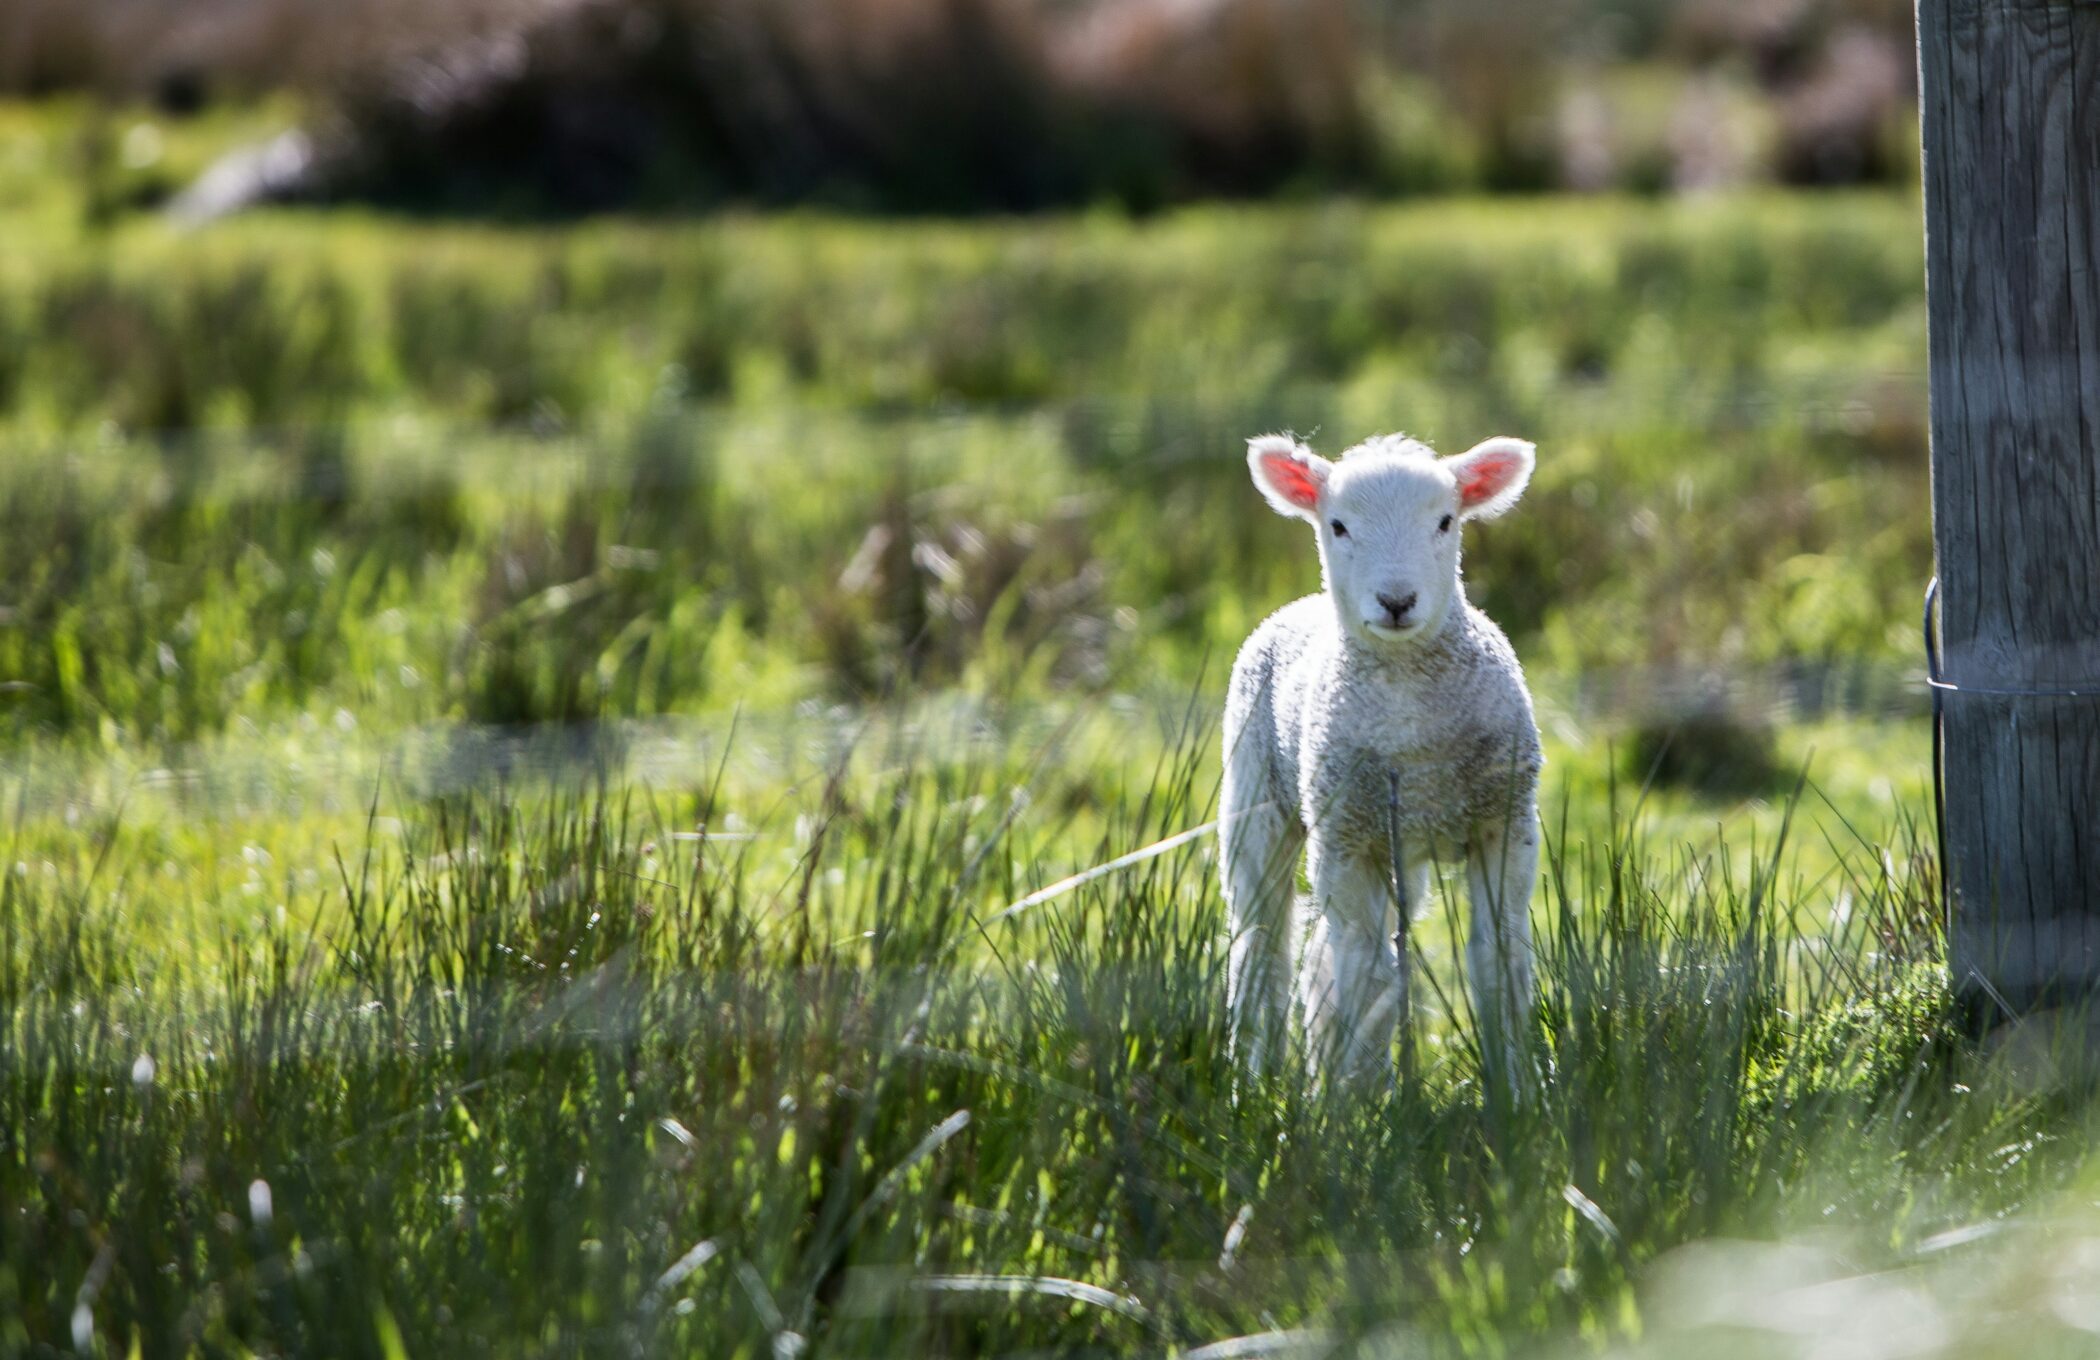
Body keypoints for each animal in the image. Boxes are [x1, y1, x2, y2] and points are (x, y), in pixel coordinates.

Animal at [1221, 431, 1543, 1088]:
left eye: (1446, 521)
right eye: (1338, 525)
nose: (1397, 601)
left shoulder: (1505, 823)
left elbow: (1499, 960)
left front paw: (1516, 1089)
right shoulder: (1347, 840)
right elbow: (1366, 975)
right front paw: (1363, 1099)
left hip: (1399, 846)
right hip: (1255, 799)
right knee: (1262, 944)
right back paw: (1256, 1078)